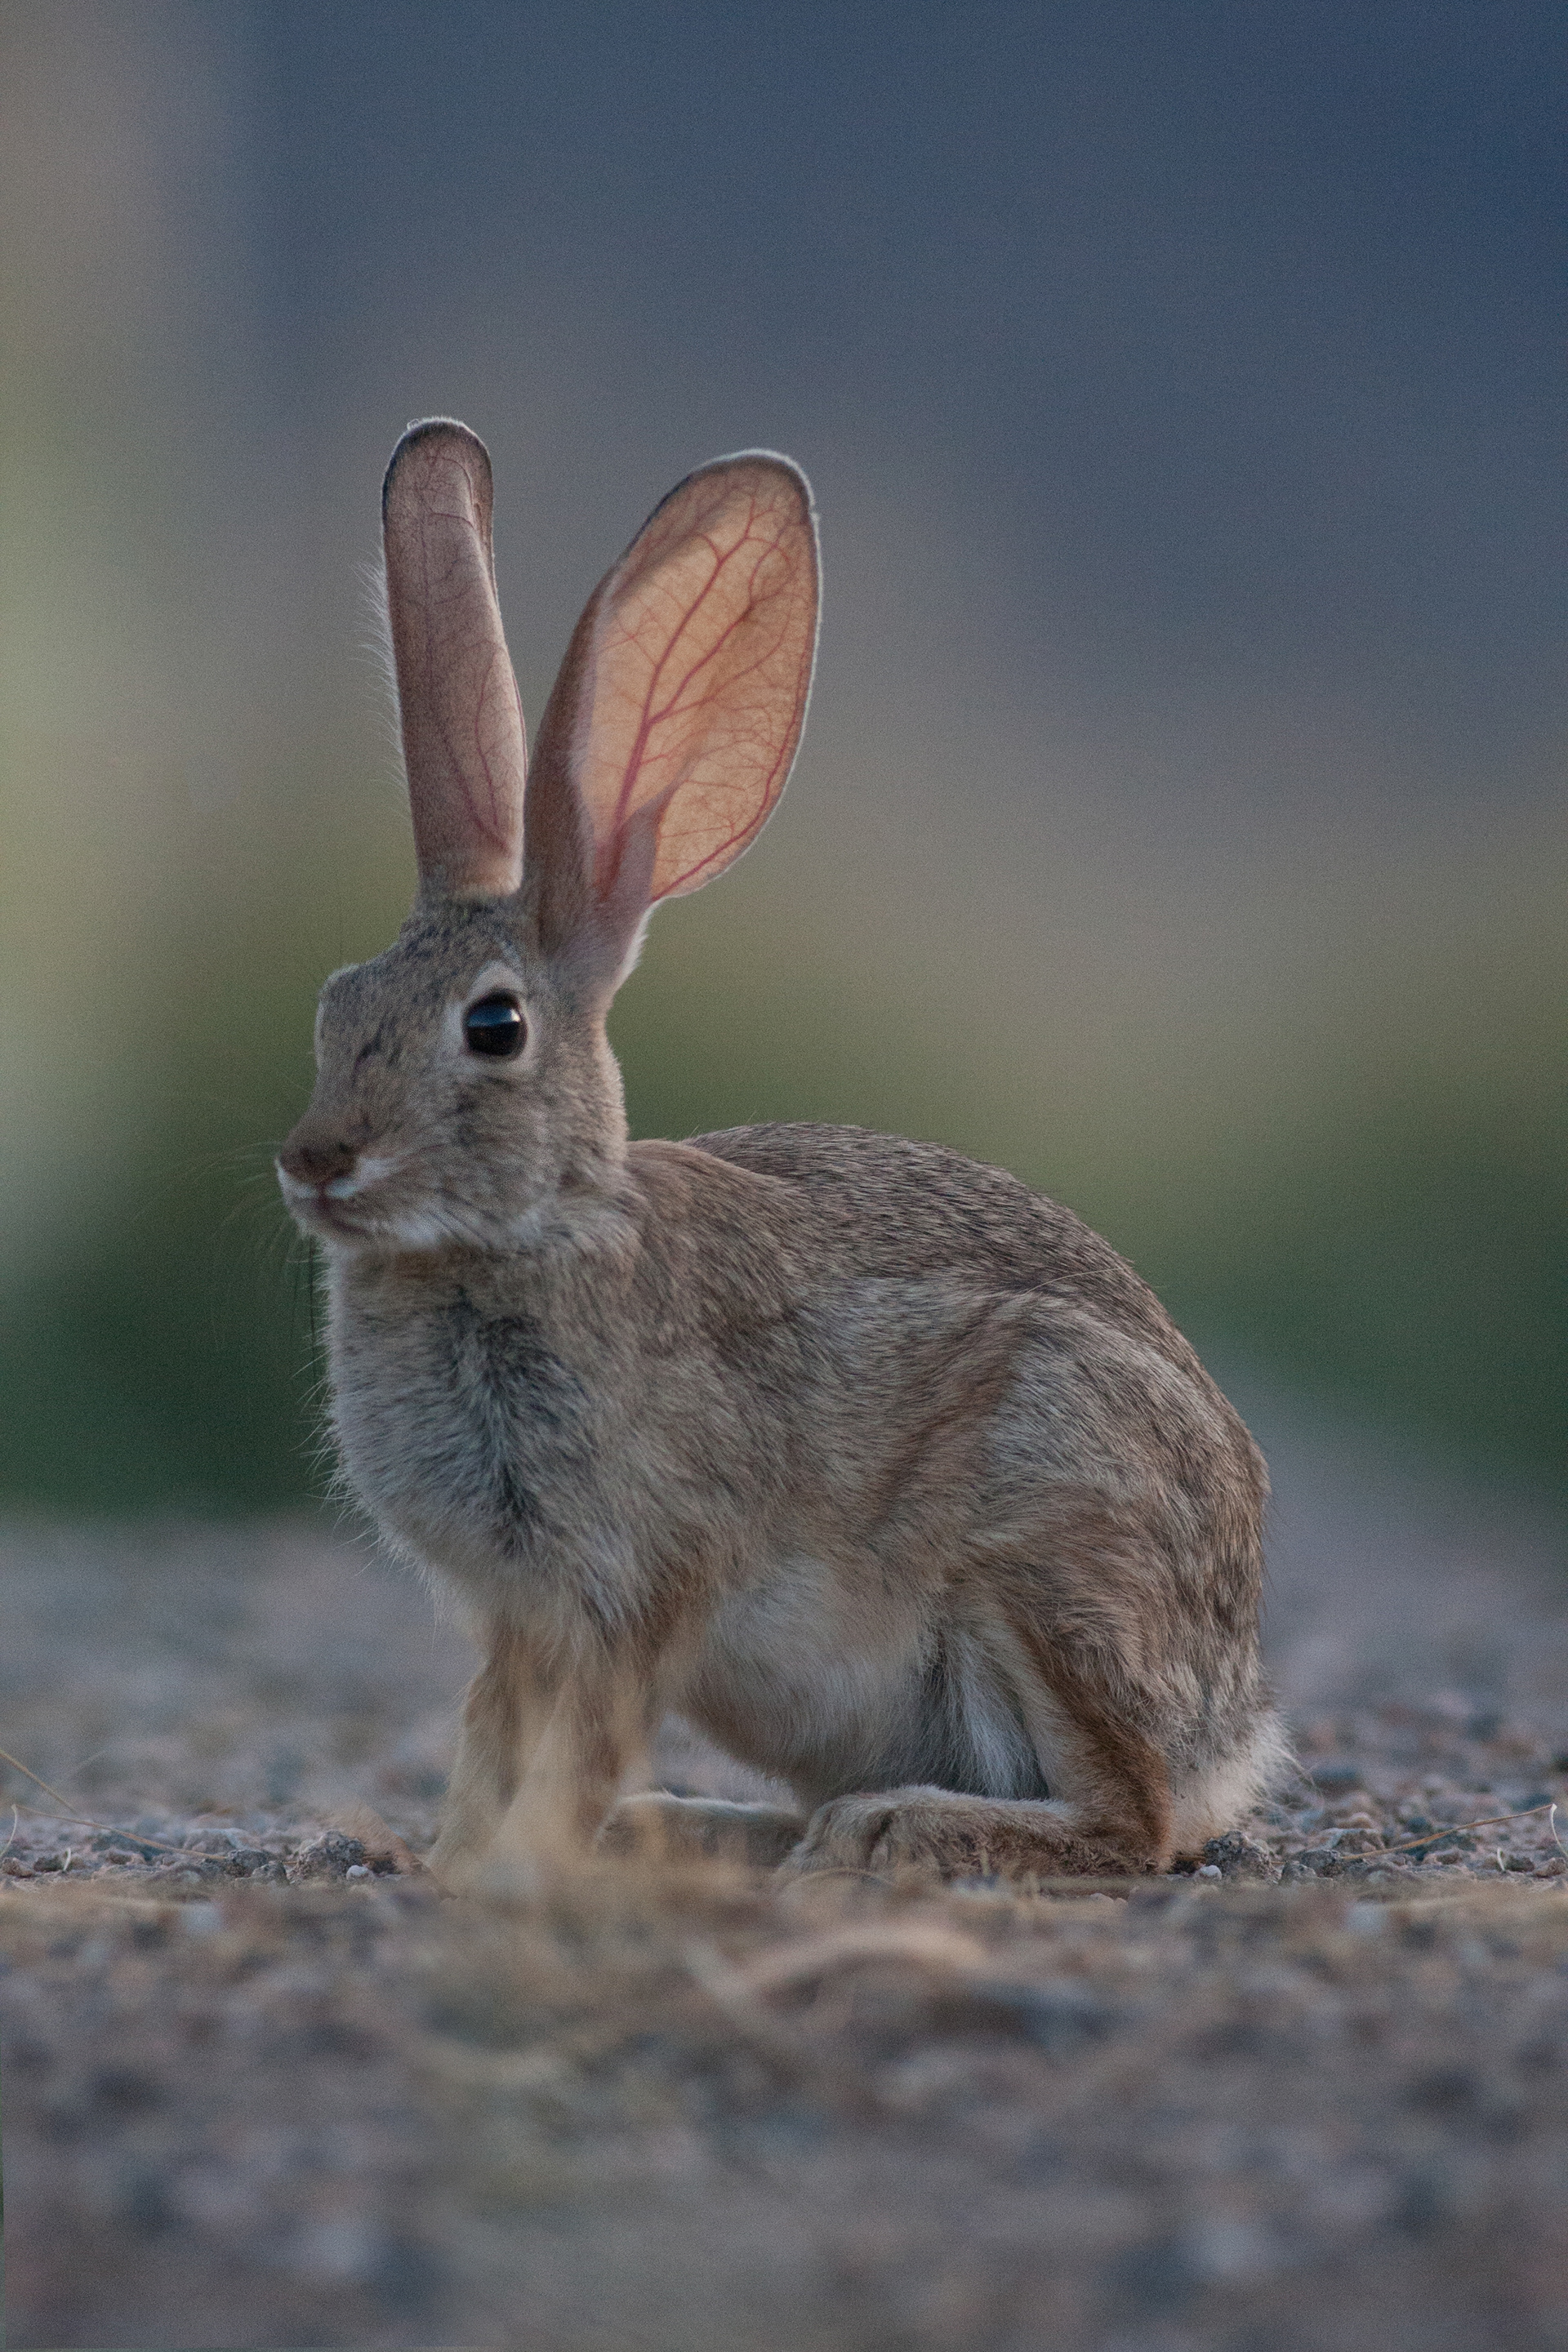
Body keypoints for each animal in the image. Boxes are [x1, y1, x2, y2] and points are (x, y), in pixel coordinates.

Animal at [277, 417, 1286, 1893]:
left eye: (493, 1026)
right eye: (337, 1002)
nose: (314, 1163)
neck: (526, 1236)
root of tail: (1237, 1721)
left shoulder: (644, 1574)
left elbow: (580, 1739)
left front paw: (520, 1868)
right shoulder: (519, 1613)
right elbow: (489, 1733)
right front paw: (454, 1858)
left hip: (1046, 1545)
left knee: (1134, 1823)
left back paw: (896, 1830)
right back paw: (717, 1830)